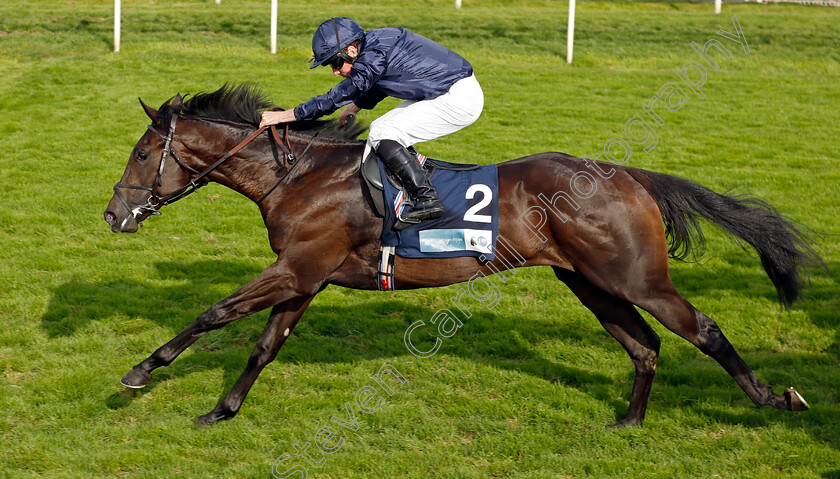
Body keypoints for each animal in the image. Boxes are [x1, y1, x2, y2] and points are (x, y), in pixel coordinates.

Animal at [105, 84, 820, 426]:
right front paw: (221, 410)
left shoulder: (296, 267)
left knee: (705, 329)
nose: (114, 214)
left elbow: (215, 313)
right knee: (643, 347)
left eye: (141, 154)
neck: (298, 175)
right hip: (591, 281)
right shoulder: (306, 276)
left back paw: (774, 399)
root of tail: (627, 173)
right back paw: (629, 422)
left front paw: (139, 372)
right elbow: (262, 345)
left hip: (637, 277)